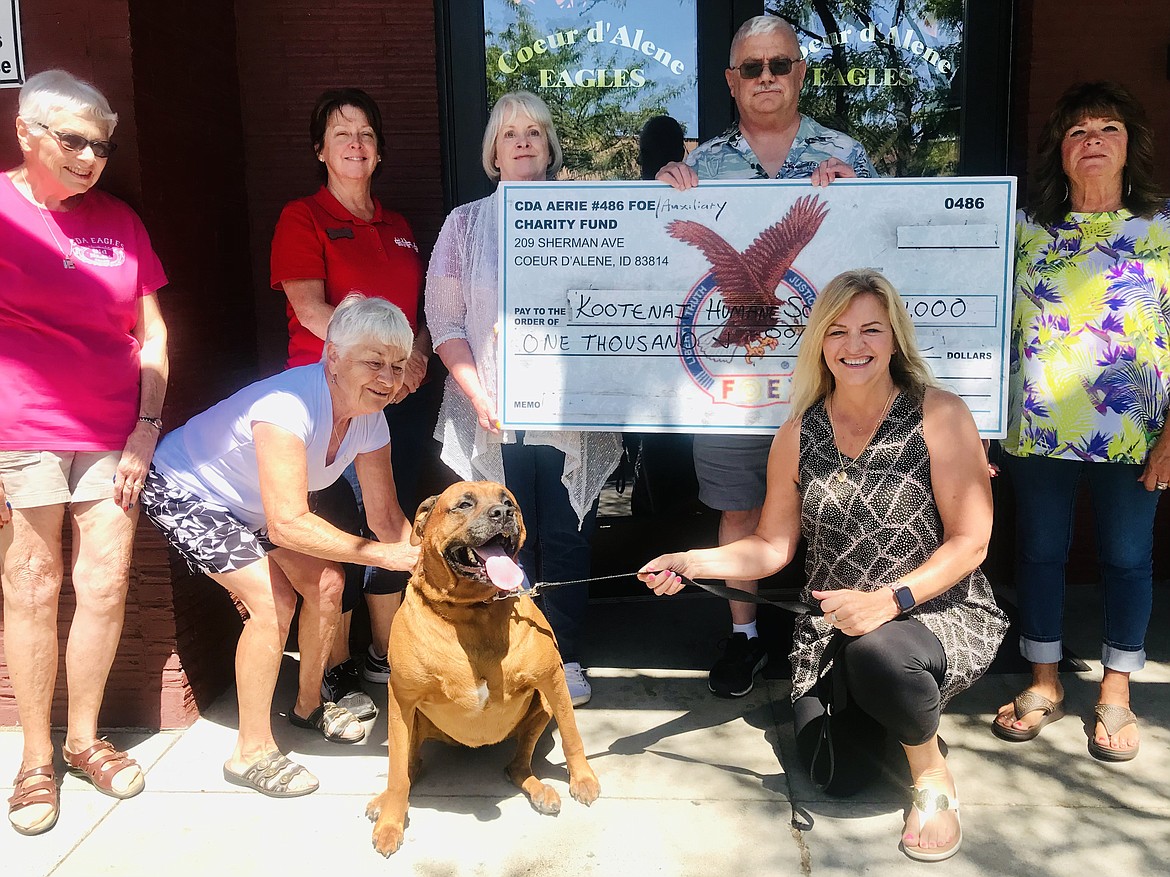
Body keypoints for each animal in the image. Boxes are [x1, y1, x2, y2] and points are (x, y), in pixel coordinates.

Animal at [365, 481, 603, 860]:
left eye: (509, 502)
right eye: (464, 504)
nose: (503, 513)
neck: (474, 610)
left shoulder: (552, 680)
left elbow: (572, 735)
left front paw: (582, 779)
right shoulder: (401, 698)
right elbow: (397, 772)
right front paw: (390, 824)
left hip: (541, 710)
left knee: (516, 766)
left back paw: (540, 790)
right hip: (412, 723)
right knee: (409, 766)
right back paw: (384, 802)